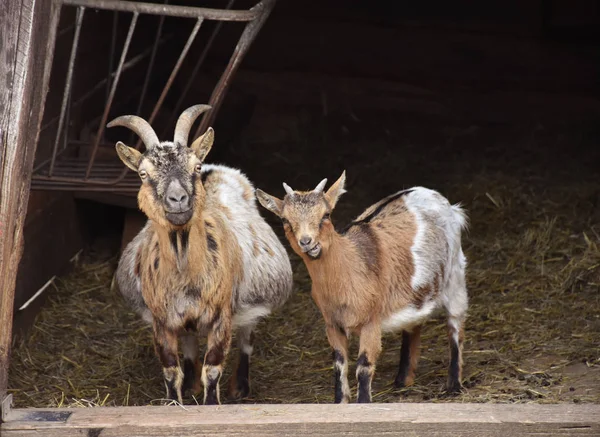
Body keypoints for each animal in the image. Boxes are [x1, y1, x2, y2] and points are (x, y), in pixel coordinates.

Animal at [111, 104, 294, 404]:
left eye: (194, 167)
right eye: (143, 174)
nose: (178, 199)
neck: (186, 273)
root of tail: (215, 168)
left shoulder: (221, 316)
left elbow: (213, 369)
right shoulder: (162, 320)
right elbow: (170, 370)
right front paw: (176, 399)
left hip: (250, 302)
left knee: (247, 337)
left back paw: (241, 386)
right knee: (189, 343)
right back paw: (190, 384)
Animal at [255, 172, 466, 404]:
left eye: (326, 215)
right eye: (285, 220)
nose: (307, 242)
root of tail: (434, 195)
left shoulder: (371, 321)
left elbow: (364, 366)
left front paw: (363, 402)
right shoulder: (332, 323)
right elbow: (339, 364)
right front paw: (340, 401)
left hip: (455, 276)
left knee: (455, 325)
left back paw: (454, 385)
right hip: (417, 290)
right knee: (413, 324)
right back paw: (403, 380)